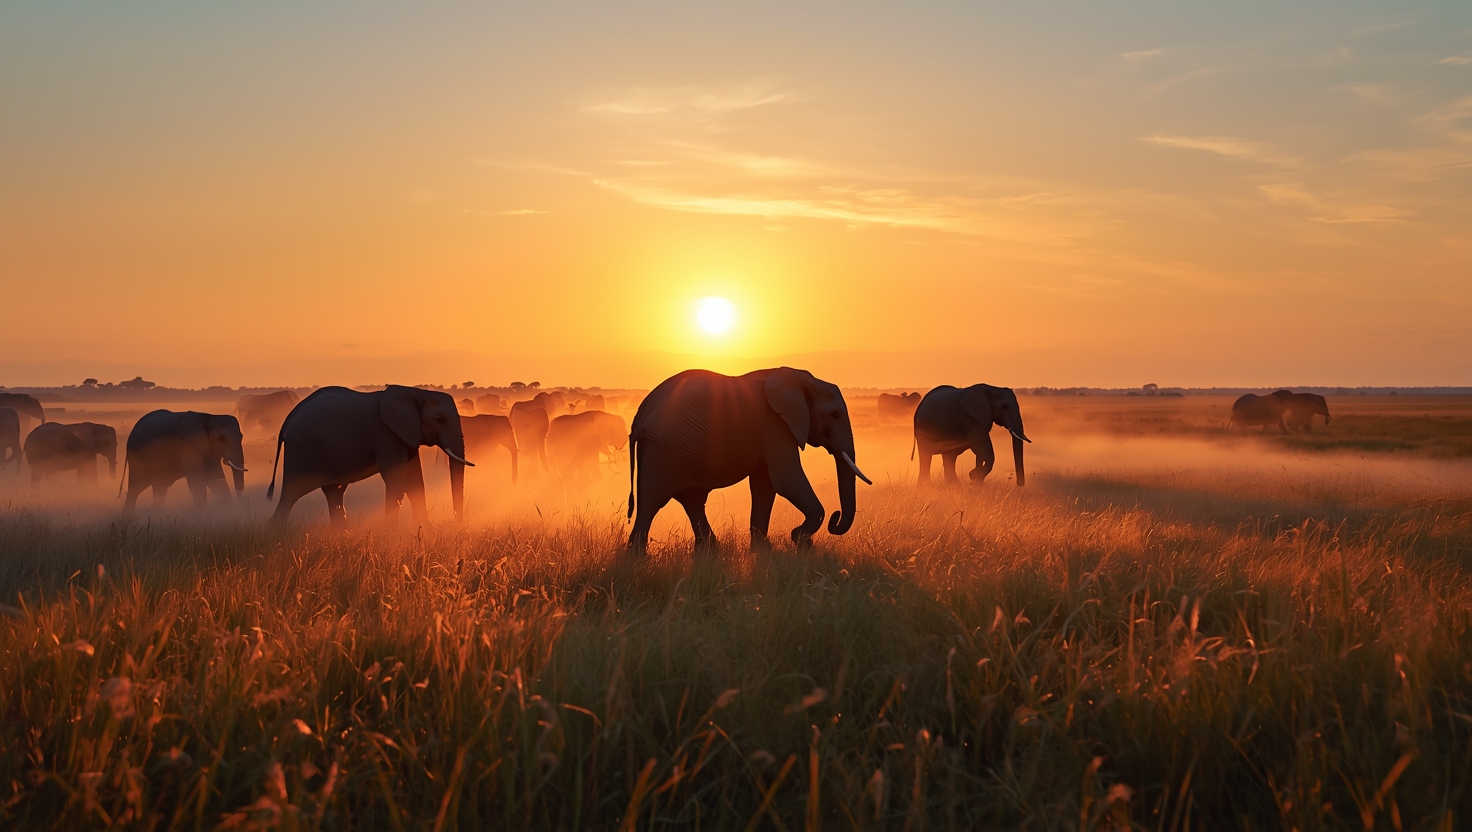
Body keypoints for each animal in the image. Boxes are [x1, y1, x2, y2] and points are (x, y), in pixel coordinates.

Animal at [266, 385, 471, 528]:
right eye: (439, 420)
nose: (457, 524)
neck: (417, 392)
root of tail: (289, 418)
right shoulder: (385, 432)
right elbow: (395, 479)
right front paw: (390, 534)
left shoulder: (406, 433)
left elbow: (415, 481)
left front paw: (423, 531)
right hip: (302, 451)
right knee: (290, 494)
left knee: (334, 493)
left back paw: (342, 535)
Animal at [627, 367, 870, 554]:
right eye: (834, 415)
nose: (836, 516)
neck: (803, 378)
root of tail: (639, 417)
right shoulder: (775, 423)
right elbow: (786, 480)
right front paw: (800, 540)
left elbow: (765, 485)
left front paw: (763, 551)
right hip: (663, 451)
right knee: (651, 503)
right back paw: (636, 559)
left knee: (693, 500)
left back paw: (709, 551)